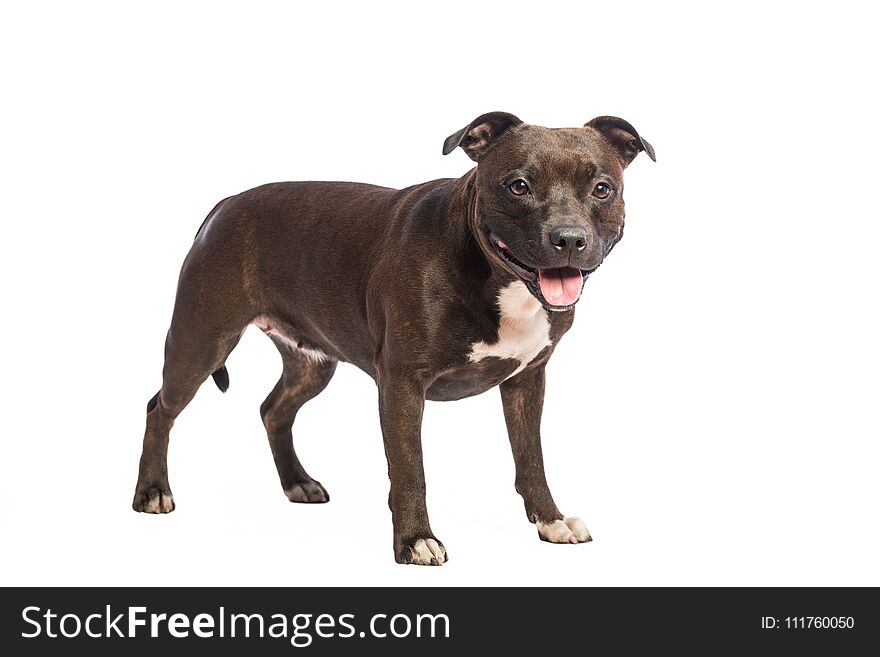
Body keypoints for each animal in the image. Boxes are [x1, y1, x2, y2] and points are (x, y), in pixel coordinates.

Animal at [131, 113, 652, 564]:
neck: (497, 278)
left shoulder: (527, 382)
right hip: (200, 343)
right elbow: (409, 469)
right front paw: (415, 540)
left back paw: (297, 483)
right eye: (518, 185)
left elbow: (532, 458)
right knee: (160, 409)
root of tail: (225, 204)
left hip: (311, 362)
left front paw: (550, 520)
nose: (569, 238)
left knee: (273, 409)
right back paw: (153, 492)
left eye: (602, 189)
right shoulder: (402, 385)